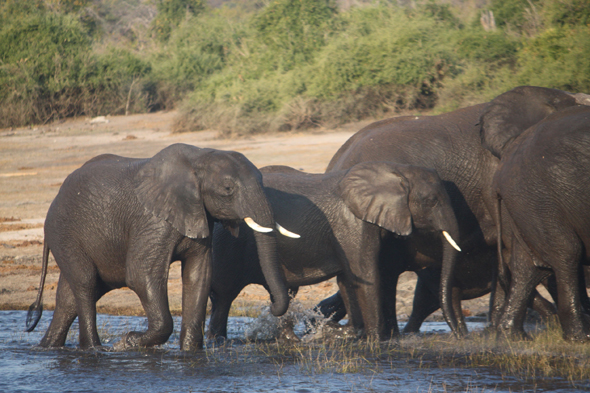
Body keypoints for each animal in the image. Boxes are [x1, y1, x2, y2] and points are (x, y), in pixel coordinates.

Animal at [25, 143, 292, 350]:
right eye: (228, 189)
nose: (271, 305)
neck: (200, 156)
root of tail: (54, 199)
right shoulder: (152, 221)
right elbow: (141, 274)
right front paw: (126, 343)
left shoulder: (199, 215)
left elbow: (198, 276)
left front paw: (189, 352)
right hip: (64, 232)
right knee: (86, 284)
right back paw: (94, 349)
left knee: (68, 298)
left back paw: (47, 347)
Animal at [210, 161, 464, 338]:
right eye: (431, 200)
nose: (459, 335)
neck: (395, 170)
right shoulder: (352, 223)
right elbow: (367, 274)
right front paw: (377, 340)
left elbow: (348, 278)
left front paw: (350, 332)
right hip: (226, 243)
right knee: (223, 297)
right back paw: (218, 342)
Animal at [478, 86, 590, 340]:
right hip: (539, 196)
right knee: (567, 253)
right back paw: (580, 337)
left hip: (528, 201)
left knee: (527, 267)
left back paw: (512, 336)